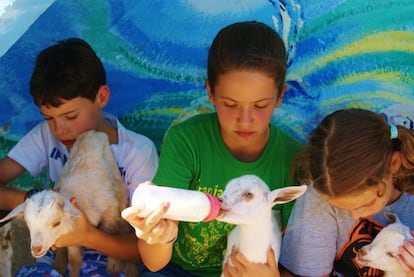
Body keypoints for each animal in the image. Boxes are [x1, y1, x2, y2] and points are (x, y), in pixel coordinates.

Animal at [0, 129, 137, 276]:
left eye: (56, 223)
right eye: (28, 223)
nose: (36, 249)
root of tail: (92, 132)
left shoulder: (109, 212)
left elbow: (112, 234)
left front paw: (113, 266)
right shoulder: (72, 232)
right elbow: (74, 259)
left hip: (118, 185)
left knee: (124, 226)